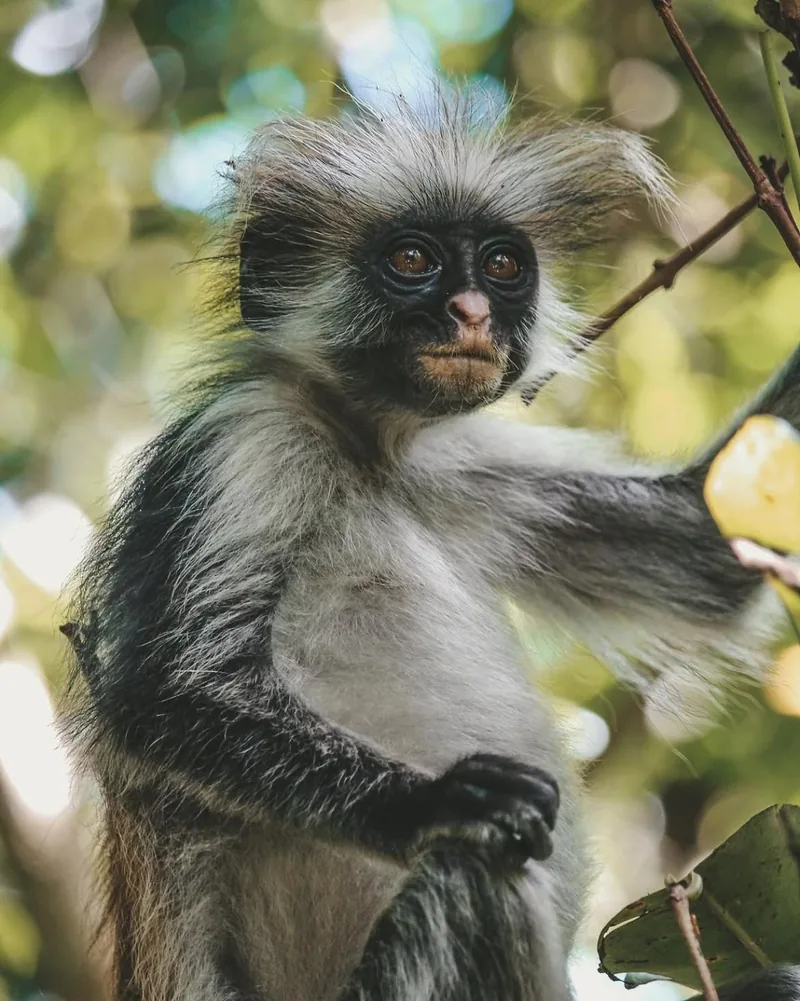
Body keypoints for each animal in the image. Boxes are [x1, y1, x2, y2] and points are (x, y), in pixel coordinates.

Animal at [60, 91, 800, 1001]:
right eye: (413, 258)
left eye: (503, 266)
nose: (473, 312)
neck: (369, 447)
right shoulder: (247, 441)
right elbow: (158, 695)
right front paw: (436, 804)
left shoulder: (459, 459)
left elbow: (709, 546)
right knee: (475, 870)